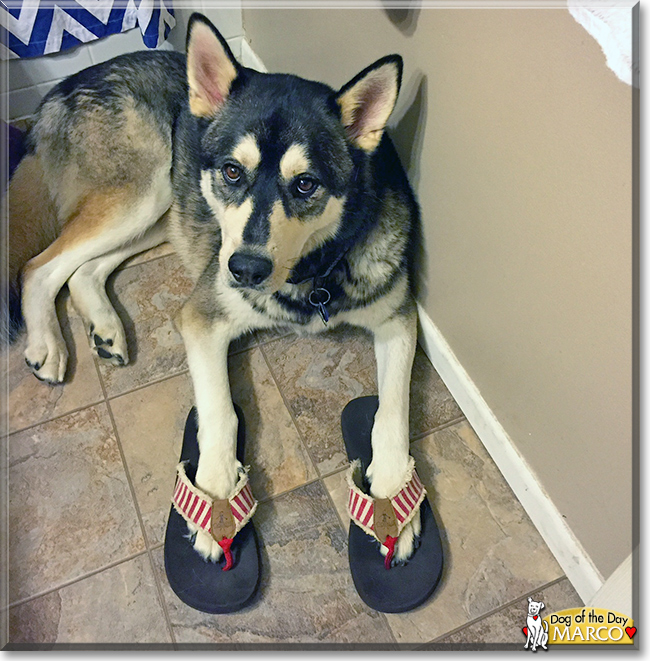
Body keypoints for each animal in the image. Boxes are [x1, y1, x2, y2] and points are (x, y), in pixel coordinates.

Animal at [7, 14, 422, 564]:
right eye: (232, 171)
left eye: (305, 184)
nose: (245, 268)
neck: (312, 275)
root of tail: (64, 87)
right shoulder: (203, 316)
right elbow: (219, 411)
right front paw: (219, 499)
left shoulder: (398, 320)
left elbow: (392, 411)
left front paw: (394, 498)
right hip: (147, 190)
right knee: (39, 266)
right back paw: (48, 344)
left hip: (167, 210)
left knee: (82, 271)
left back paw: (106, 328)